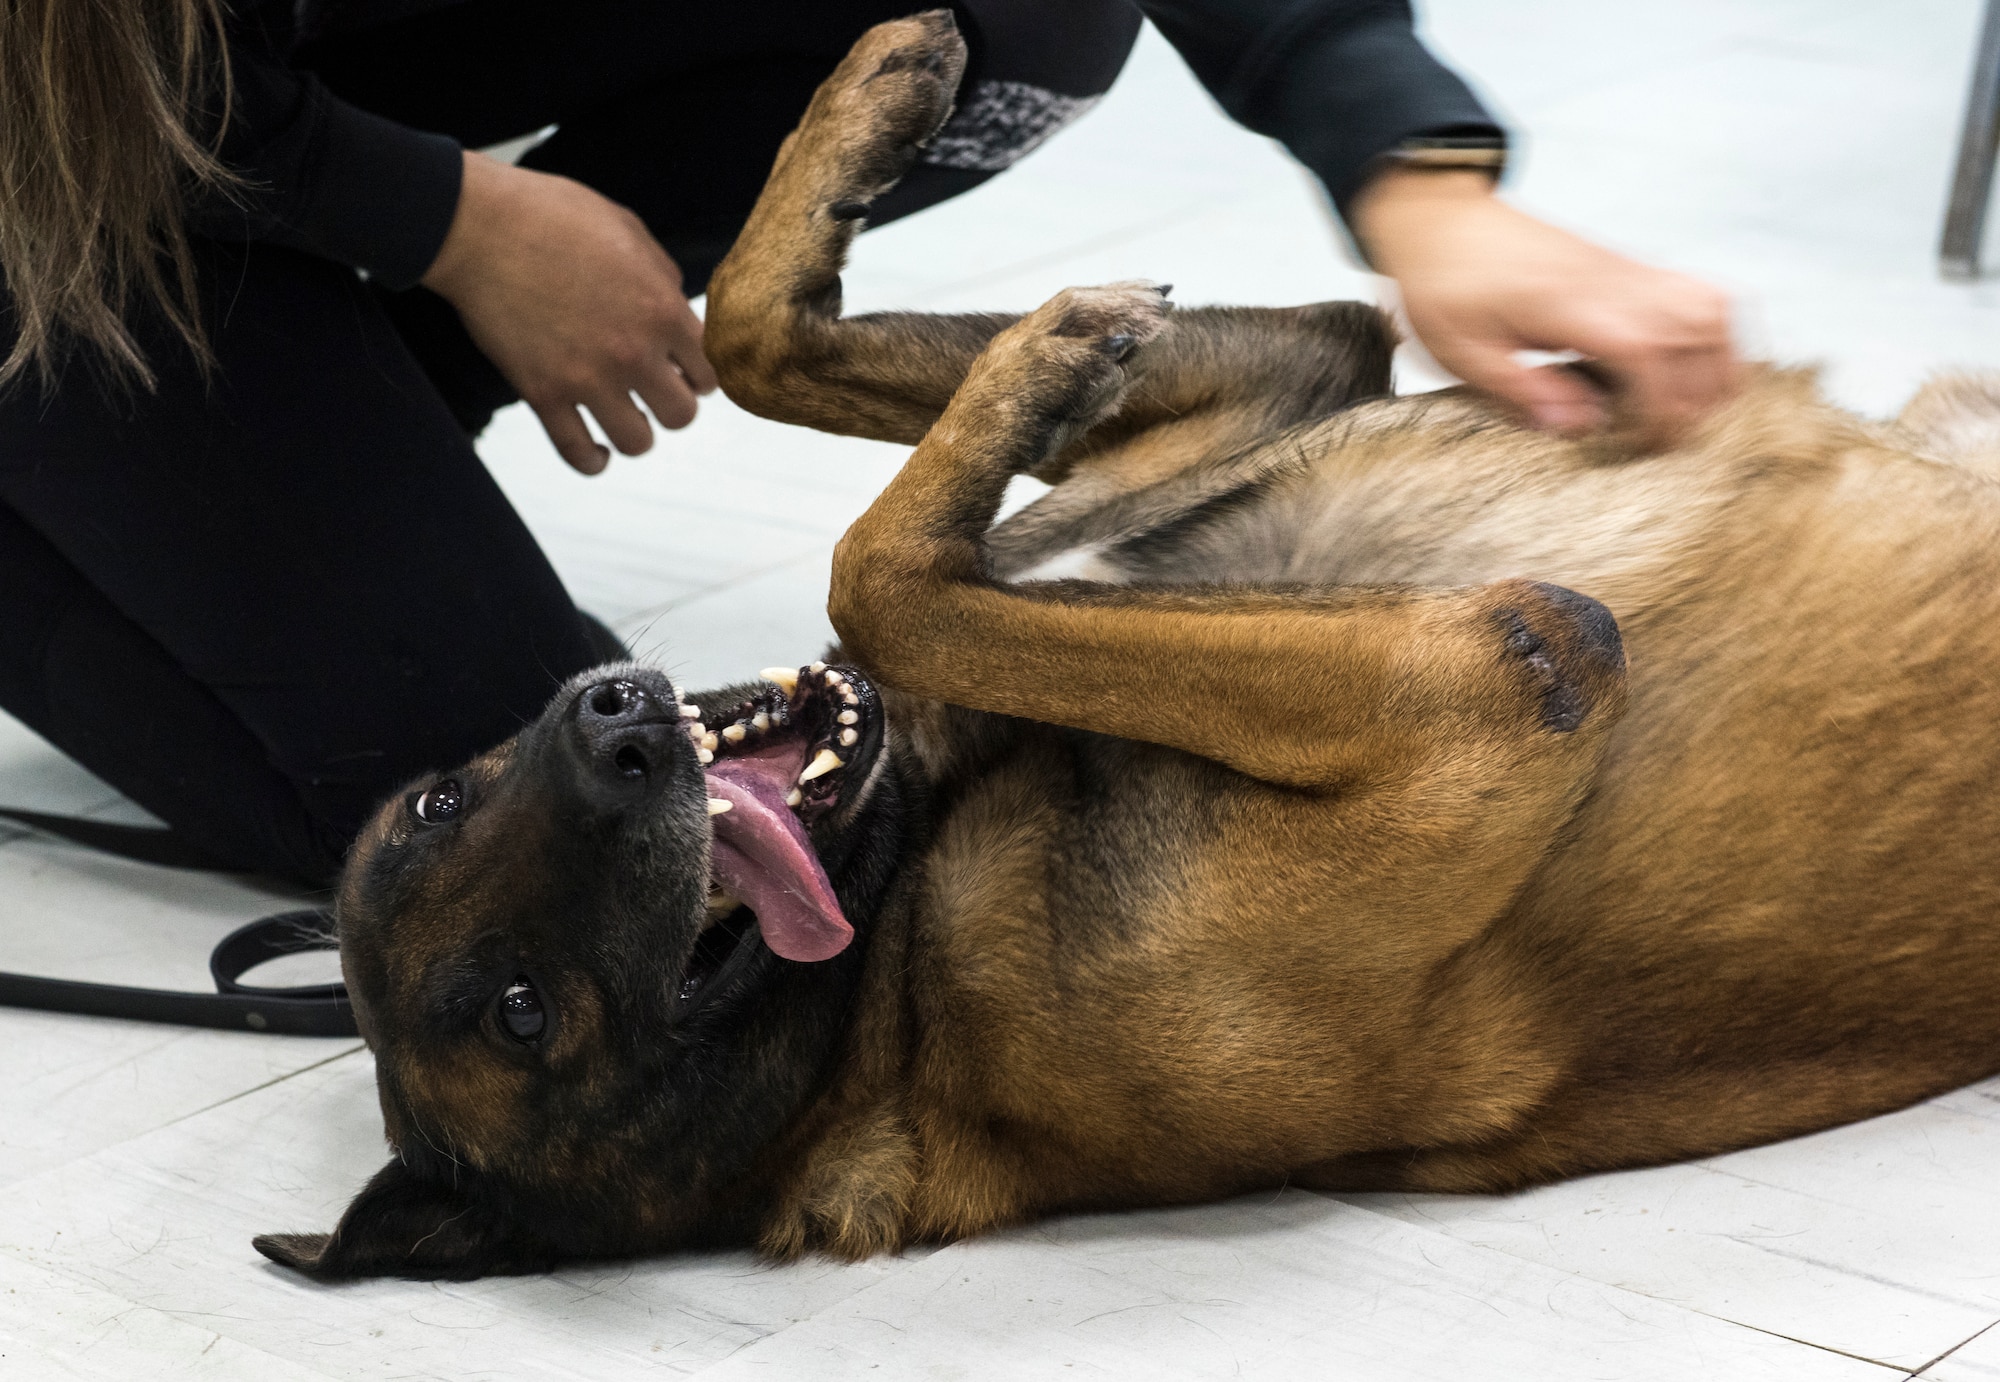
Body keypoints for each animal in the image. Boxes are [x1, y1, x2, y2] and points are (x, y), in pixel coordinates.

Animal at [258, 16, 2000, 1280]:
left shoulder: (1295, 388)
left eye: (432, 804)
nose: (615, 726)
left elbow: (750, 343)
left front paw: (875, 115)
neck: (898, 952)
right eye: (520, 1011)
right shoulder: (1481, 700)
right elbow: (883, 572)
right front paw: (1031, 356)